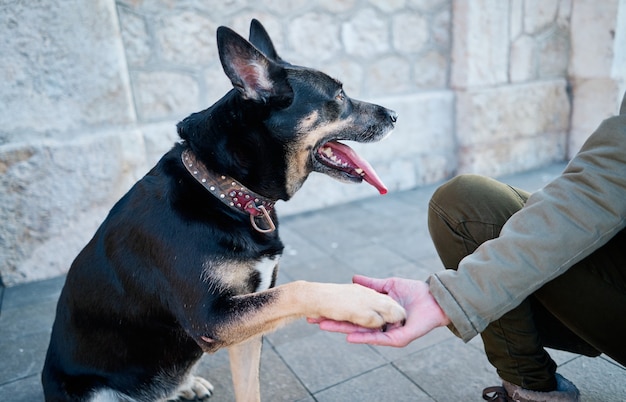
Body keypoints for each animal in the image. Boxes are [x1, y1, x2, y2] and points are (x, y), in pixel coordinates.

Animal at [44, 20, 404, 400]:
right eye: (339, 96)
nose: (396, 115)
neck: (223, 189)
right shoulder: (211, 318)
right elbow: (299, 288)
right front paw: (363, 301)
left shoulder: (245, 323)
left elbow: (250, 385)